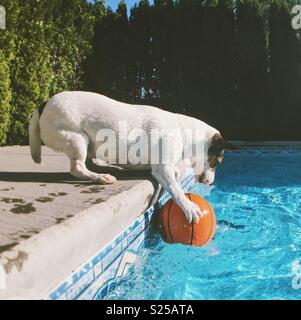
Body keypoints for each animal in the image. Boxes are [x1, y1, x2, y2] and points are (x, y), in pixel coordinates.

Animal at [29, 91, 236, 224]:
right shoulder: (163, 169)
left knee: (90, 161)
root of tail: (44, 104)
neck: (186, 133)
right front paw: (188, 207)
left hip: (89, 143)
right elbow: (176, 189)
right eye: (217, 162)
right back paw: (100, 177)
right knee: (78, 168)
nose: (211, 182)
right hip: (77, 138)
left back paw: (108, 169)